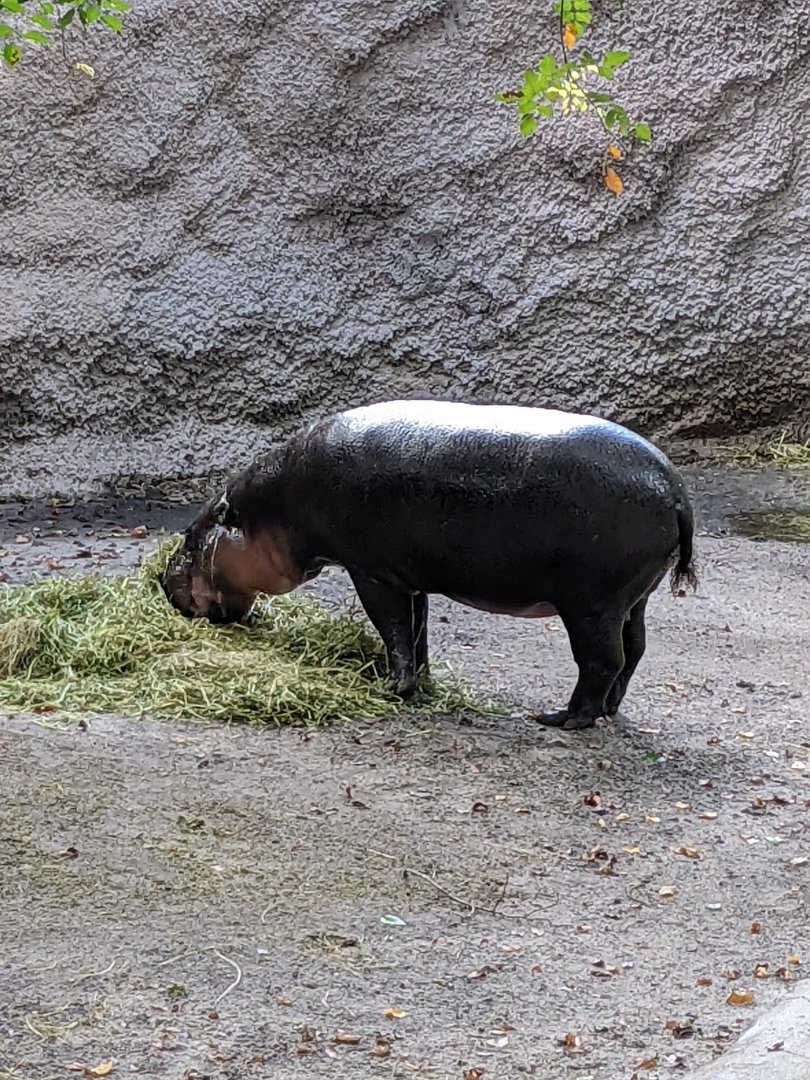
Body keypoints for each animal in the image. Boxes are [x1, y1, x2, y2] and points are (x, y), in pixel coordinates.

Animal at [163, 400, 696, 730]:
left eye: (190, 540)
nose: (164, 583)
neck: (271, 513)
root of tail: (674, 488)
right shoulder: (409, 579)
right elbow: (416, 633)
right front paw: (420, 684)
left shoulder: (372, 572)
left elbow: (393, 629)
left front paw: (389, 689)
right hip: (632, 599)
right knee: (634, 650)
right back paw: (607, 711)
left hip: (590, 605)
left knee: (602, 660)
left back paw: (564, 719)